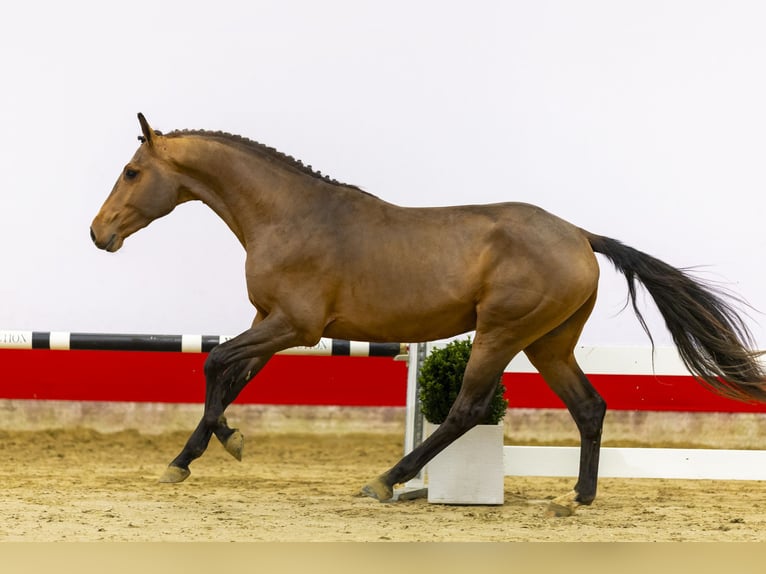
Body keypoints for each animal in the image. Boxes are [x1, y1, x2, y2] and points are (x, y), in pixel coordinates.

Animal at [91, 113, 766, 516]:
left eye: (132, 172)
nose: (99, 233)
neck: (289, 215)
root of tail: (580, 235)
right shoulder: (268, 324)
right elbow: (230, 376)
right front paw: (196, 455)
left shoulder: (292, 327)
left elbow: (215, 364)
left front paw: (211, 449)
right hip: (549, 343)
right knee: (590, 407)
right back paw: (578, 497)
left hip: (501, 333)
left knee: (467, 409)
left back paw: (387, 480)